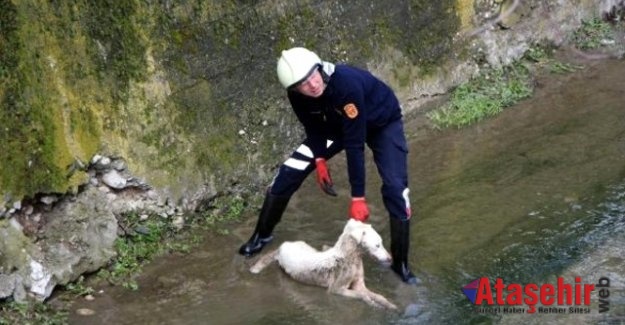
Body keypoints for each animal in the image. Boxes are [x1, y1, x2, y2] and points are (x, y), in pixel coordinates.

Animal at [249, 218, 394, 308]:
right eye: (377, 245)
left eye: (380, 243)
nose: (390, 259)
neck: (351, 257)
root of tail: (282, 246)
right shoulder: (336, 289)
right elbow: (362, 295)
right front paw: (372, 304)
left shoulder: (359, 284)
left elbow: (379, 296)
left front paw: (391, 306)